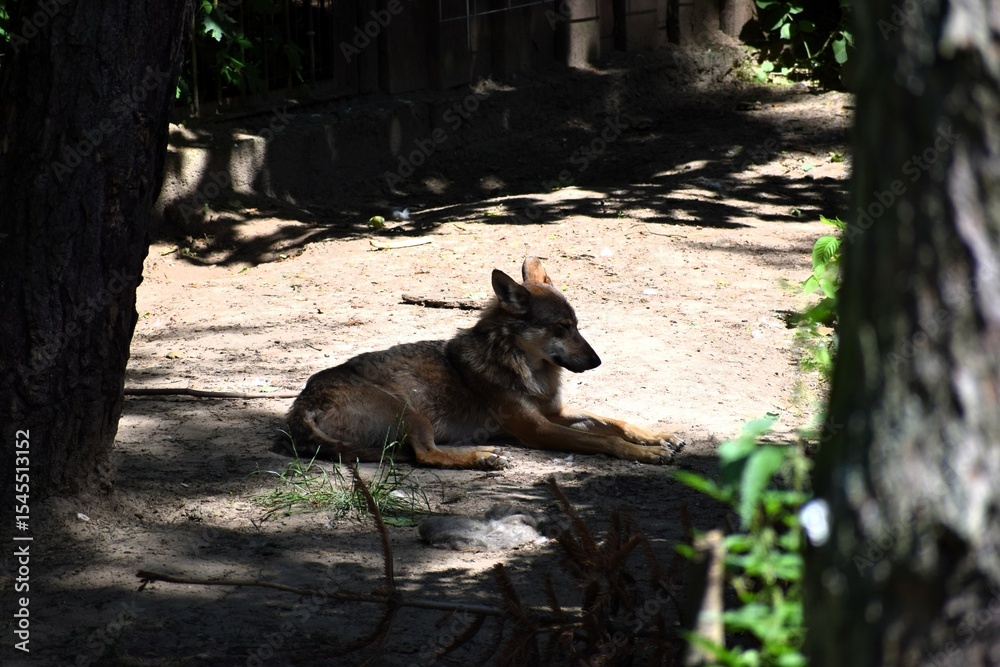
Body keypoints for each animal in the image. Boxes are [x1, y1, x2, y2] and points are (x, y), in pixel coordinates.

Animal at [285, 257, 684, 468]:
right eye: (561, 327)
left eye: (577, 325)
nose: (597, 361)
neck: (525, 368)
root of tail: (301, 403)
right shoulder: (539, 429)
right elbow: (605, 439)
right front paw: (645, 453)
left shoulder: (554, 413)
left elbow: (616, 421)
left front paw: (658, 435)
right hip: (412, 413)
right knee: (425, 456)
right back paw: (482, 456)